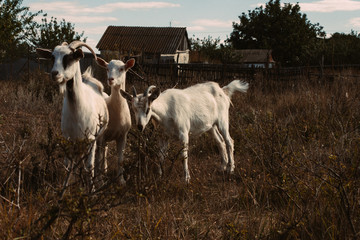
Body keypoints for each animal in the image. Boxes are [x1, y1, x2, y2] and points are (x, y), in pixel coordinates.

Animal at [37, 41, 109, 190]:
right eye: (52, 57)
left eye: (70, 57)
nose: (54, 73)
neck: (77, 110)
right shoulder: (69, 139)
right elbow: (68, 166)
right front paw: (66, 188)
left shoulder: (91, 139)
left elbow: (89, 166)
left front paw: (91, 190)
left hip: (101, 136)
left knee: (101, 153)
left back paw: (101, 177)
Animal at [95, 56, 135, 184]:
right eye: (107, 68)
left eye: (122, 69)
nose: (110, 79)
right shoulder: (102, 136)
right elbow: (98, 157)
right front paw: (99, 181)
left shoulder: (123, 135)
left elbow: (120, 159)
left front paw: (121, 180)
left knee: (105, 150)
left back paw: (105, 168)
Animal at [120, 79, 248, 183]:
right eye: (134, 109)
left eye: (148, 109)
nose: (140, 126)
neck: (166, 110)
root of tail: (223, 90)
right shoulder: (164, 136)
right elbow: (160, 155)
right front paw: (159, 176)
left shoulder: (184, 134)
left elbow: (183, 155)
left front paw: (186, 179)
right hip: (211, 126)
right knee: (220, 141)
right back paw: (222, 167)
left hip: (222, 121)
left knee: (229, 141)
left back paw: (230, 169)